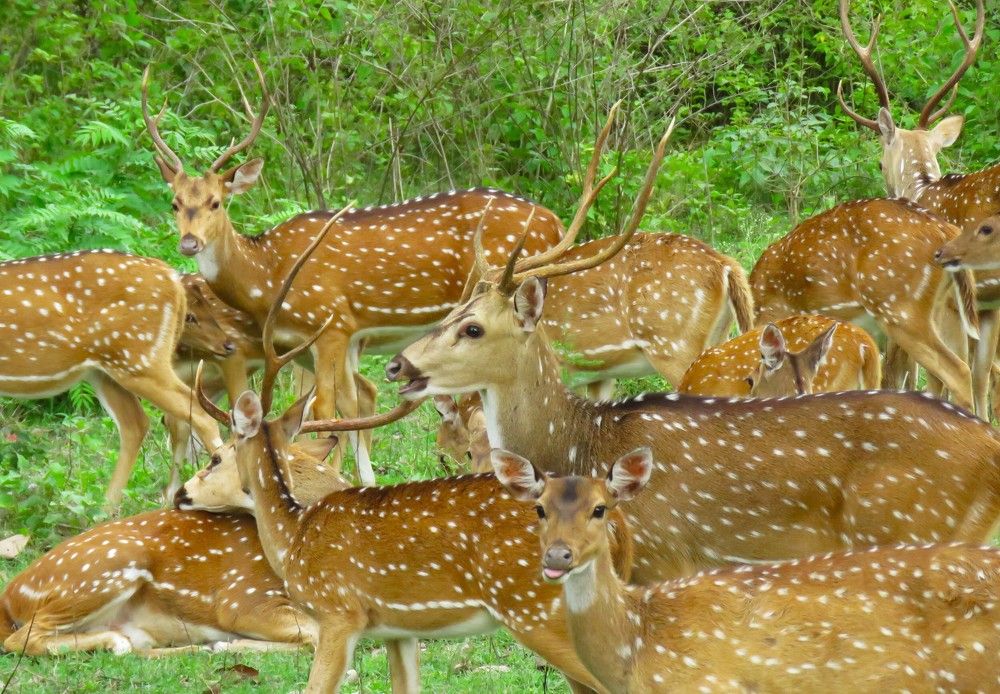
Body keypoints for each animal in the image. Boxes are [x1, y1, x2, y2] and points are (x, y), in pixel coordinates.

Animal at [0, 250, 222, 508]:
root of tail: (171, 276)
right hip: (107, 370)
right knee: (137, 424)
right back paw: (109, 509)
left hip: (139, 359)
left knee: (197, 414)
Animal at [141, 63, 564, 487]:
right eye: (175, 203)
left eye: (216, 202)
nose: (189, 243)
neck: (266, 277)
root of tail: (555, 222)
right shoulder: (310, 343)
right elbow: (352, 404)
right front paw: (364, 480)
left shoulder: (332, 325)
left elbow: (326, 410)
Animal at [181, 205, 635, 694]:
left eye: (216, 457)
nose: (181, 494)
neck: (292, 538)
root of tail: (616, 526)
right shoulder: (398, 631)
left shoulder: (339, 613)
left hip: (536, 608)